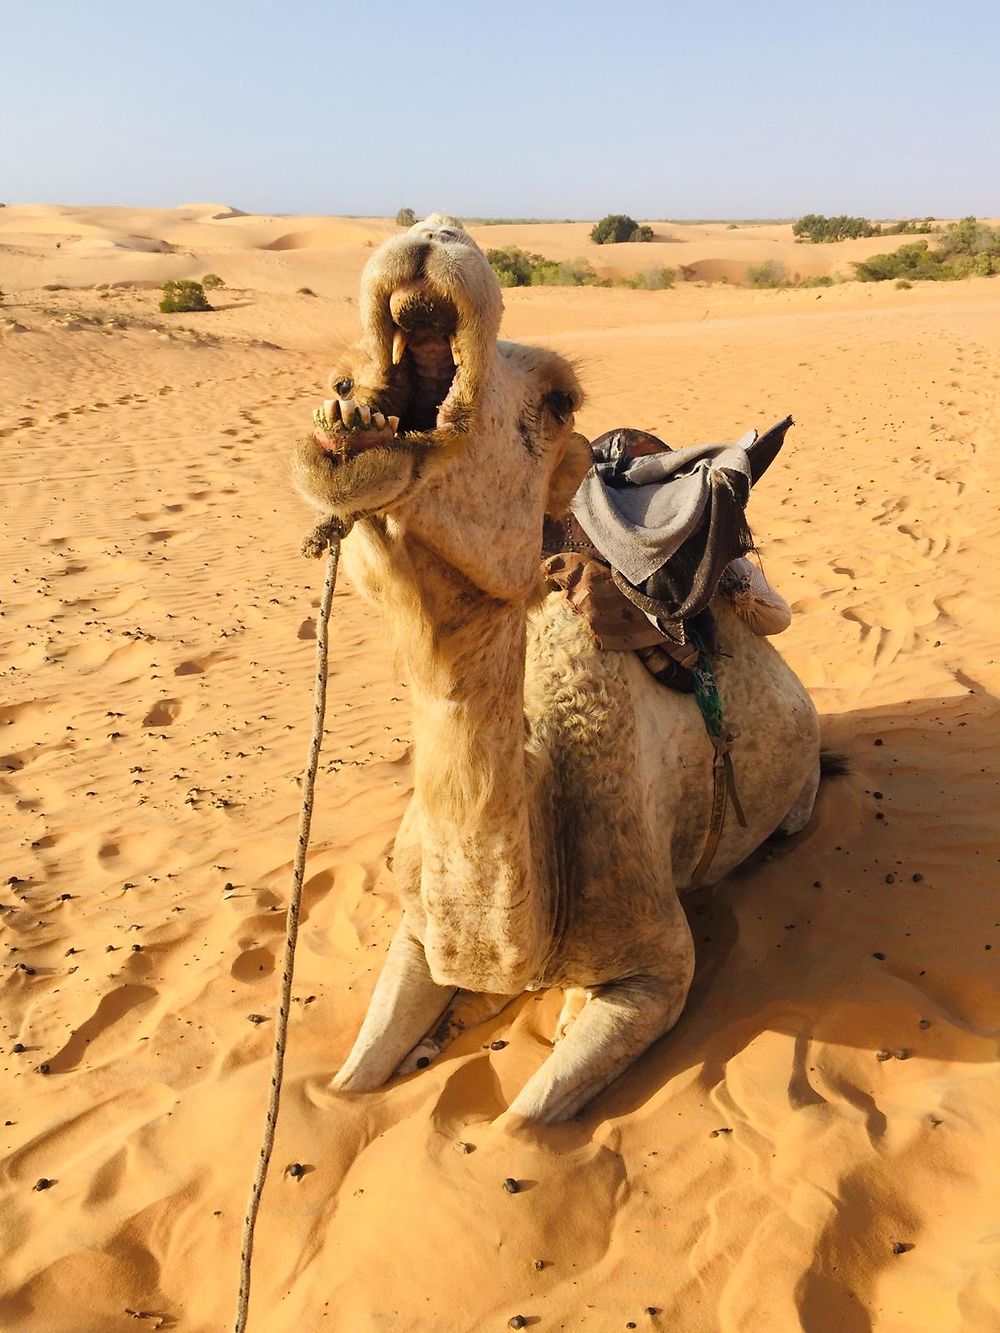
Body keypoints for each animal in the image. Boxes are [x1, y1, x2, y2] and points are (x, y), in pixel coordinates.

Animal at [292, 213, 821, 1119]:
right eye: (340, 376)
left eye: (558, 397)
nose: (436, 229)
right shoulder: (417, 930)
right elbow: (350, 1080)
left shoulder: (658, 970)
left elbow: (523, 1124)